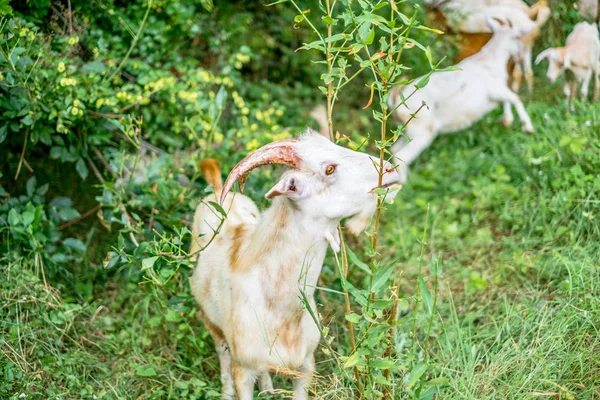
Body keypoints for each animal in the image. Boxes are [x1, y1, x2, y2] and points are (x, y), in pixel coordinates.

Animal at [190, 130, 400, 396]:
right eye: (329, 169)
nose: (390, 168)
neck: (282, 309)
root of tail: (217, 192)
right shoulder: (243, 369)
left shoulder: (305, 365)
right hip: (210, 321)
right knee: (222, 354)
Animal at [390, 16, 536, 183]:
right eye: (517, 37)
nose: (520, 55)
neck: (490, 61)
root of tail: (395, 100)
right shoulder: (495, 90)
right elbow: (515, 98)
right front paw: (528, 127)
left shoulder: (498, 92)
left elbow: (508, 100)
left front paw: (507, 121)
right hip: (421, 129)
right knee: (403, 155)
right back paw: (403, 184)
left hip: (406, 130)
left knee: (394, 149)